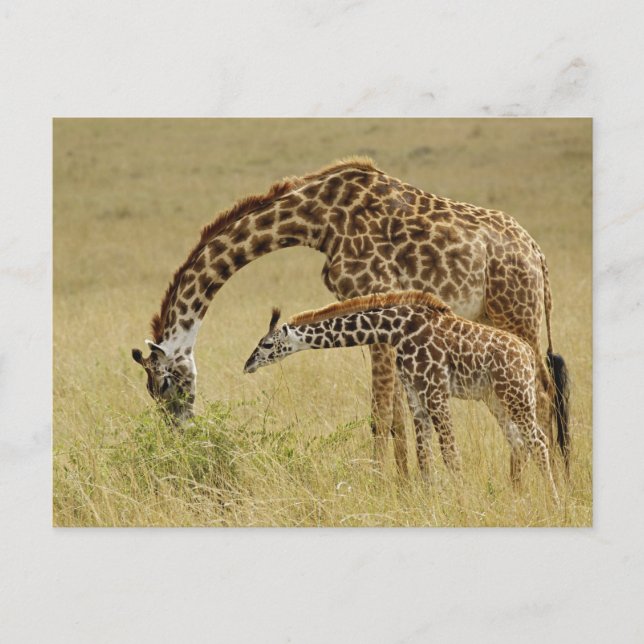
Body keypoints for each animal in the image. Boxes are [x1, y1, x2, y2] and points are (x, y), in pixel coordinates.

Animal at [131, 157, 570, 472]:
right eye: (152, 391)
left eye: (165, 385)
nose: (181, 436)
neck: (316, 221)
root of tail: (538, 255)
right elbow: (396, 418)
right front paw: (408, 487)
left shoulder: (375, 300)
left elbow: (381, 416)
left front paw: (385, 488)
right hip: (496, 318)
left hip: (518, 313)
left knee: (544, 392)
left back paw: (547, 483)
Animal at [242, 291, 559, 503]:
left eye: (267, 344)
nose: (247, 365)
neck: (397, 330)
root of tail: (527, 355)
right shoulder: (415, 394)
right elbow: (424, 455)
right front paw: (433, 502)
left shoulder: (435, 389)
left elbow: (450, 453)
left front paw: (462, 502)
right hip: (496, 399)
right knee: (519, 442)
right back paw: (519, 497)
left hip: (517, 394)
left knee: (539, 441)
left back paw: (554, 502)